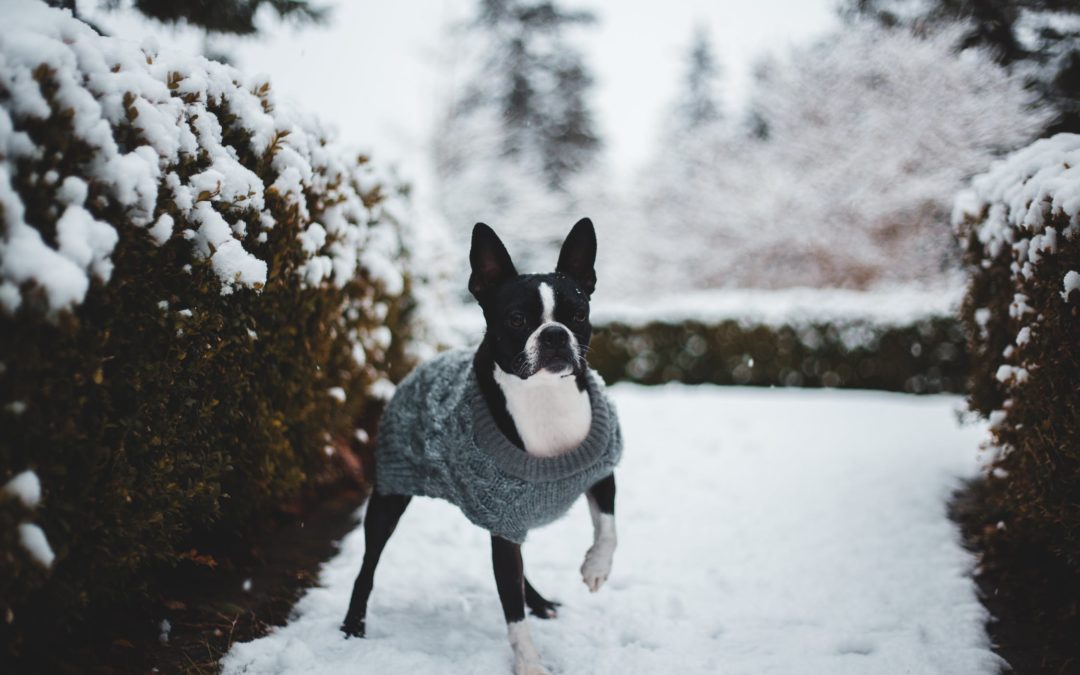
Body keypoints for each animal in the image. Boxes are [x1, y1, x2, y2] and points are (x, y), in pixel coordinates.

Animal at [341, 218, 622, 669]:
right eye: (516, 319)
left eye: (579, 315)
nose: (555, 334)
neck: (543, 396)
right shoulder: (503, 519)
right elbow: (511, 610)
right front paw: (529, 664)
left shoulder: (599, 468)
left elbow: (608, 527)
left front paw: (596, 567)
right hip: (389, 497)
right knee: (368, 565)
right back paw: (353, 624)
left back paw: (540, 602)